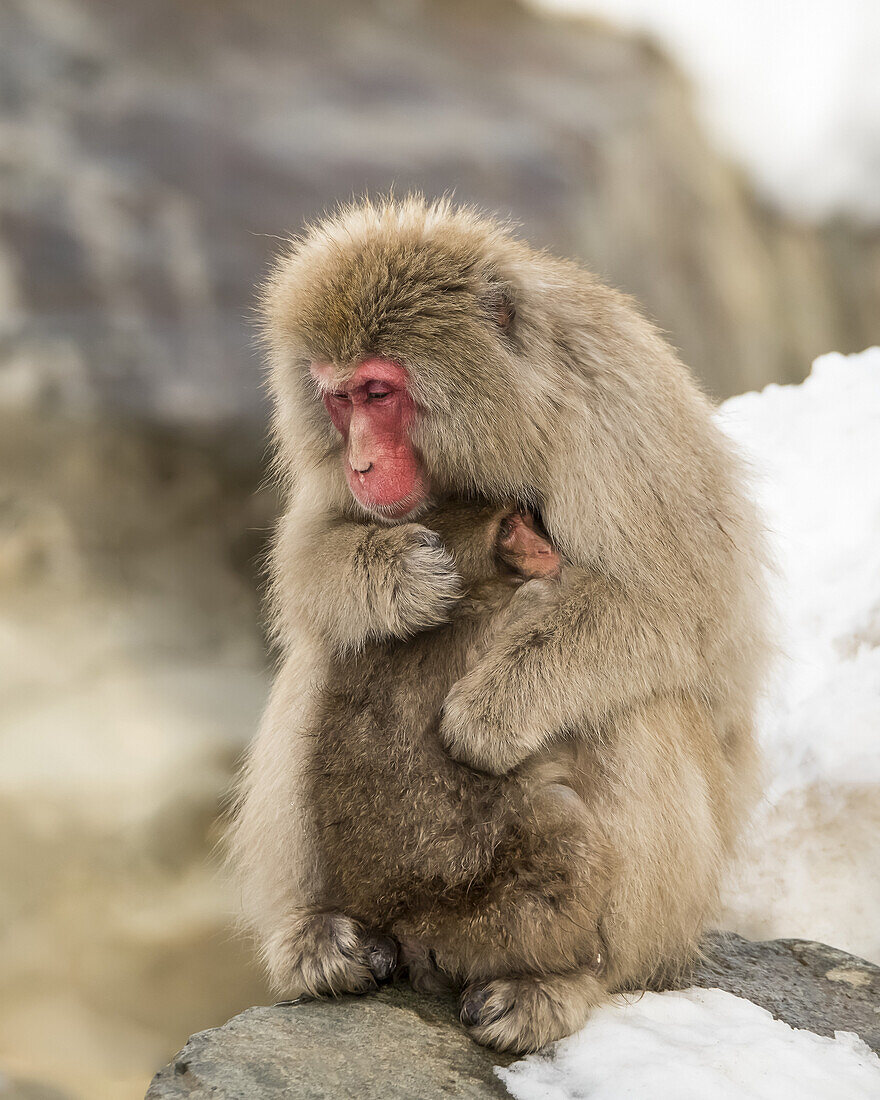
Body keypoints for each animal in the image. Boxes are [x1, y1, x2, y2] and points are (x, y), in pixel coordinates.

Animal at [228, 195, 770, 1047]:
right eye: (339, 398)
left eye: (379, 392)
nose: (361, 463)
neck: (517, 412)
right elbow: (307, 555)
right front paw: (401, 577)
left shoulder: (617, 410)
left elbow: (685, 610)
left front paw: (488, 715)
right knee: (325, 653)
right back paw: (321, 936)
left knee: (639, 707)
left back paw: (564, 979)